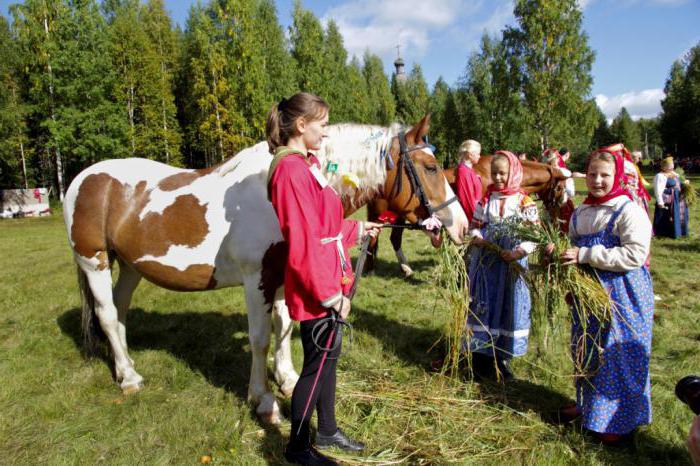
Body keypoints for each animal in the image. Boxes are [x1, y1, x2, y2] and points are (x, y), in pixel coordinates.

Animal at [63, 114, 468, 424]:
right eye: (431, 167)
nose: (463, 226)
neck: (272, 189)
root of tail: (82, 179)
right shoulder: (255, 279)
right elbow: (260, 338)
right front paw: (262, 398)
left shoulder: (282, 275)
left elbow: (284, 326)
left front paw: (287, 379)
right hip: (94, 261)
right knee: (107, 315)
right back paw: (130, 378)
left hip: (131, 266)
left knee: (119, 311)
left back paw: (125, 366)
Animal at [364, 155, 572, 274]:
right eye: (560, 188)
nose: (558, 218)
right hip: (379, 215)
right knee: (373, 238)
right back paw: (370, 268)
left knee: (394, 238)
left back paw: (405, 268)